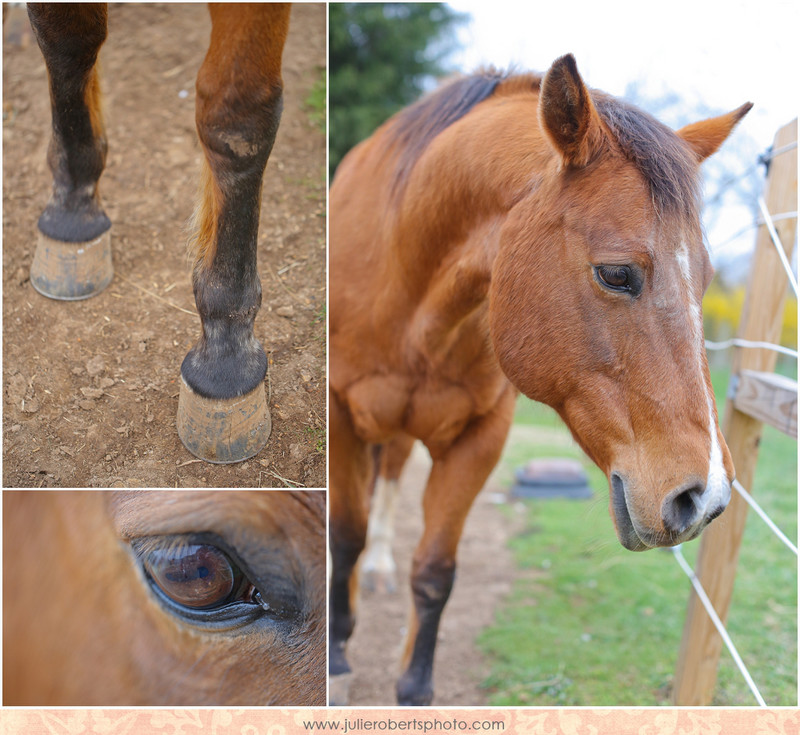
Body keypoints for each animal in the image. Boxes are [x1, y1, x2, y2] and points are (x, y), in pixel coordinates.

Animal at [328, 54, 752, 704]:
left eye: (706, 280)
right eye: (616, 273)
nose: (704, 499)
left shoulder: (481, 438)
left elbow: (434, 571)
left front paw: (414, 689)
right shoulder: (338, 416)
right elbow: (343, 536)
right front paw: (334, 661)